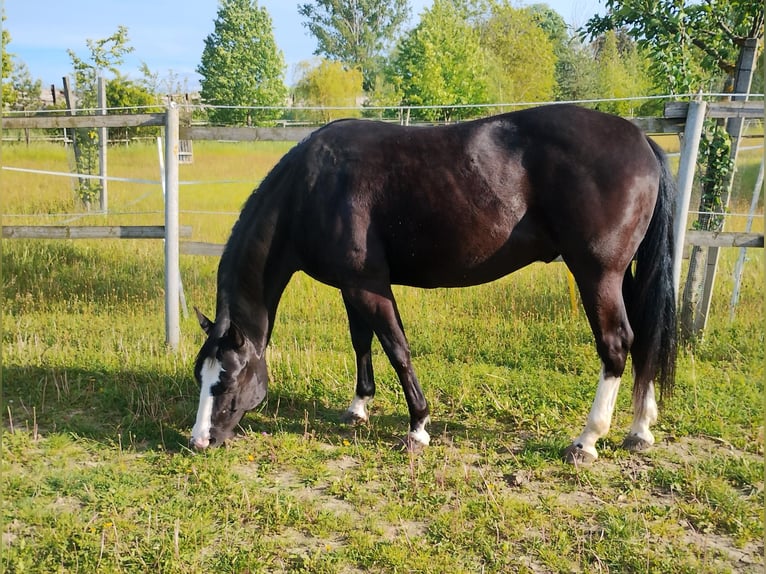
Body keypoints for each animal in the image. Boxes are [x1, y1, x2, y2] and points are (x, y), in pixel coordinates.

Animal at [190, 103, 677, 464]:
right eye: (201, 374)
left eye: (228, 379)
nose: (199, 441)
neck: (311, 188)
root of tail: (642, 141)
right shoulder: (350, 286)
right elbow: (361, 341)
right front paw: (359, 407)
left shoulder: (369, 285)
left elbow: (397, 349)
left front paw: (418, 428)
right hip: (622, 275)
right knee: (644, 338)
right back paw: (639, 429)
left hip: (597, 274)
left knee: (616, 344)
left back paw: (587, 440)